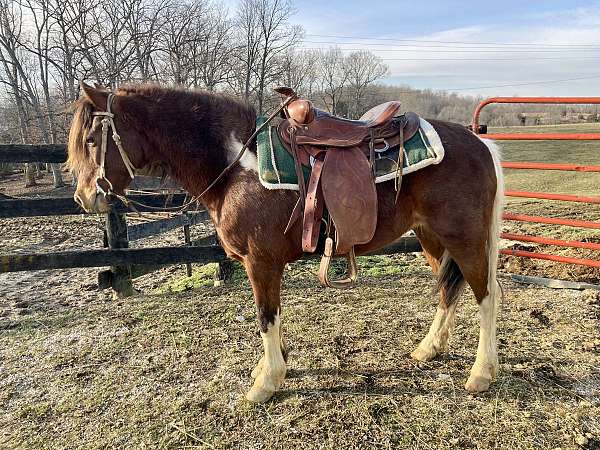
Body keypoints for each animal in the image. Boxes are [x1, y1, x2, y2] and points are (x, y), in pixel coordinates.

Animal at [68, 82, 504, 402]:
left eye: (91, 140)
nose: (85, 197)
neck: (236, 165)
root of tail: (481, 143)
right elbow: (273, 317)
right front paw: (271, 369)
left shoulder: (259, 261)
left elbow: (265, 316)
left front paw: (266, 383)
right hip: (431, 237)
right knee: (449, 289)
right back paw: (429, 349)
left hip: (464, 237)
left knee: (486, 295)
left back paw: (481, 373)